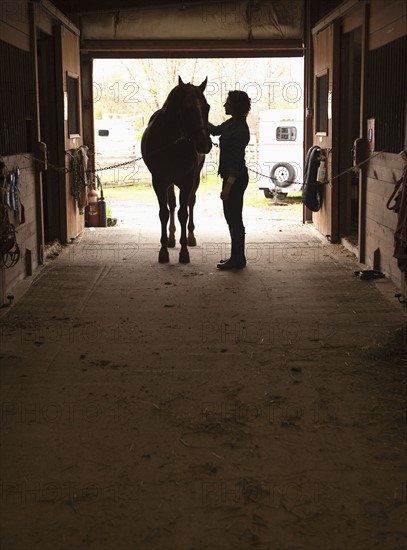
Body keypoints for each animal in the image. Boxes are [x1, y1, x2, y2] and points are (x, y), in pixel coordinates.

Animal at [142, 77, 212, 266]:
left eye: (207, 107)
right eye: (187, 108)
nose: (205, 144)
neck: (171, 143)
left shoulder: (187, 181)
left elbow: (183, 213)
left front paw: (184, 252)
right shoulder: (159, 181)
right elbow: (164, 213)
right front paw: (163, 251)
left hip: (194, 179)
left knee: (190, 203)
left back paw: (191, 237)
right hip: (170, 182)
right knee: (172, 204)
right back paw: (171, 238)